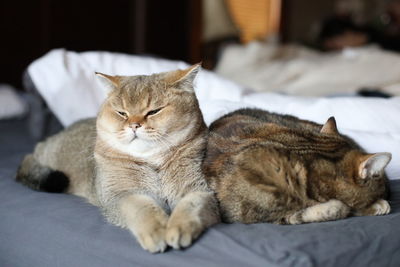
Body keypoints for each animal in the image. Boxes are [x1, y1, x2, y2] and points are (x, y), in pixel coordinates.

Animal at [16, 65, 219, 253]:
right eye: (122, 113)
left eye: (154, 111)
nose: (134, 125)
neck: (152, 162)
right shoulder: (122, 195)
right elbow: (143, 208)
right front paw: (157, 231)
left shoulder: (198, 190)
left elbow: (189, 208)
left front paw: (178, 228)